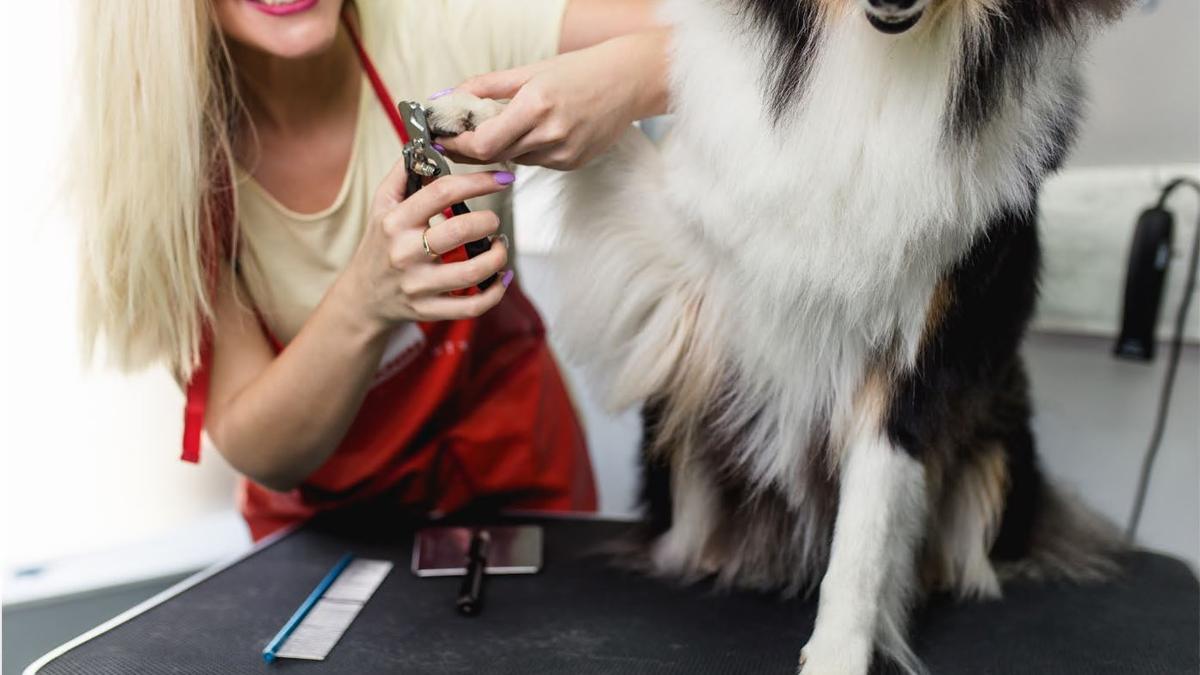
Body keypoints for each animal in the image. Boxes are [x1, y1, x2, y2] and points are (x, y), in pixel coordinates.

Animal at [429, 2, 1123, 667]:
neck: (875, 70)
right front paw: (481, 109)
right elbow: (606, 140)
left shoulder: (915, 363)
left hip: (997, 449)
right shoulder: (688, 267)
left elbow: (865, 532)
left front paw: (839, 653)